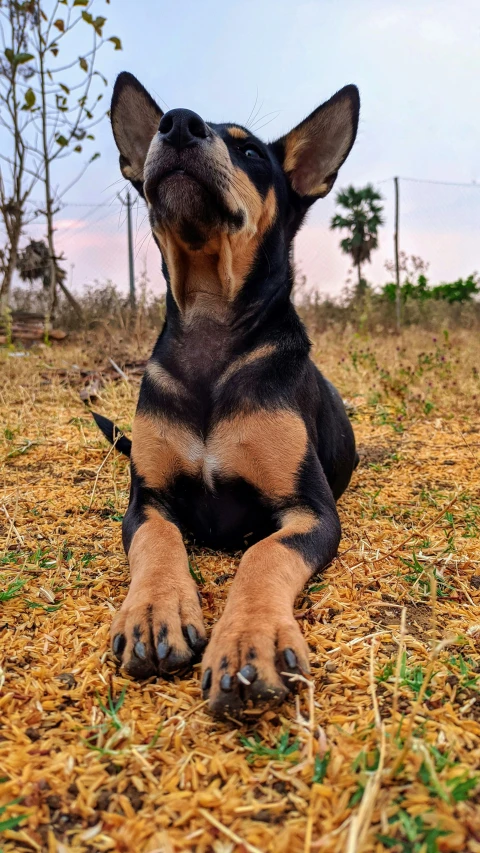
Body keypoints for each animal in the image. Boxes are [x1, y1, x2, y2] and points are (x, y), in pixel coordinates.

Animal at [94, 70, 360, 716]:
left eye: (251, 152)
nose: (177, 124)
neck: (212, 335)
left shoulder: (312, 511)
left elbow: (264, 555)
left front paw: (247, 644)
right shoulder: (147, 501)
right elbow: (159, 541)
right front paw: (154, 613)